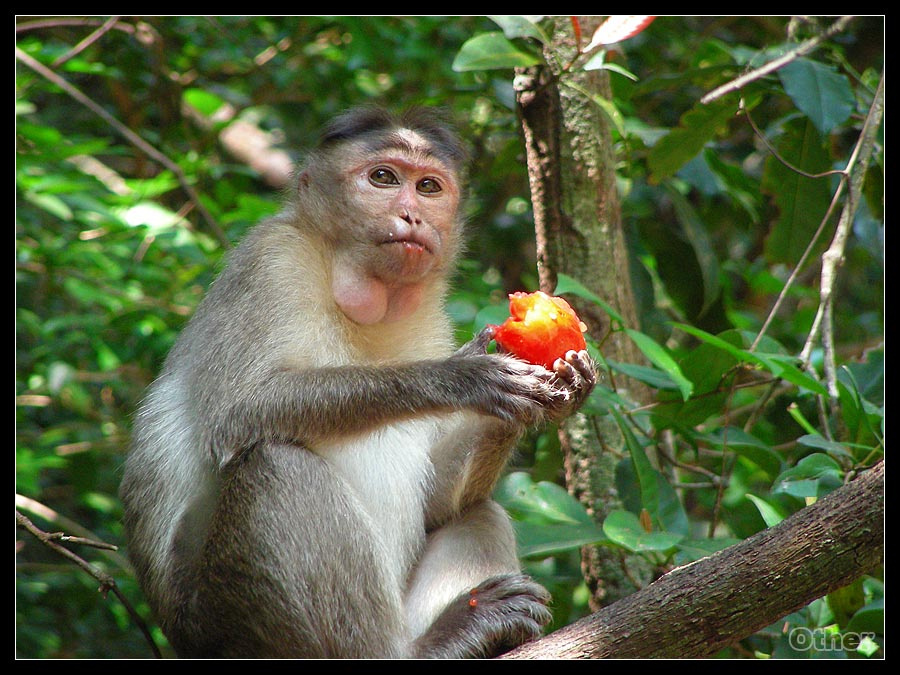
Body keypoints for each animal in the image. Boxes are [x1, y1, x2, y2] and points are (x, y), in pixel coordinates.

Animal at [119, 106, 596, 659]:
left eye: (428, 187)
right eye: (383, 178)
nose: (411, 215)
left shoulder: (431, 320)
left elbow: (437, 505)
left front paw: (555, 391)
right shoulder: (269, 261)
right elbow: (237, 411)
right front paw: (465, 375)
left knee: (480, 512)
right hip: (226, 621)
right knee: (277, 464)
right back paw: (428, 643)